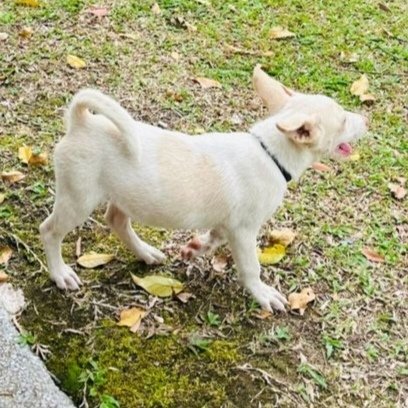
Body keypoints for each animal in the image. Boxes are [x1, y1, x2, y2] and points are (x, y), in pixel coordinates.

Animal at [39, 65, 368, 310]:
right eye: (342, 121)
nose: (366, 119)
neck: (269, 152)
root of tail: (81, 122)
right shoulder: (244, 231)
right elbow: (251, 268)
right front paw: (262, 294)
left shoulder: (229, 225)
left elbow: (212, 238)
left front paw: (195, 248)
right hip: (78, 199)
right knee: (50, 231)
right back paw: (60, 274)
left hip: (122, 195)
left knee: (116, 221)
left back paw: (146, 253)